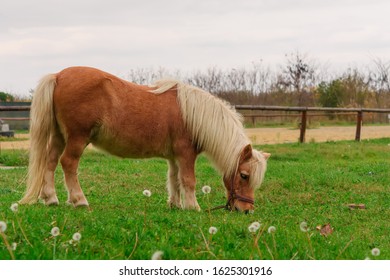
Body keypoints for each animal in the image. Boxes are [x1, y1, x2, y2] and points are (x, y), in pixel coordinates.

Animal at [19, 67, 270, 212]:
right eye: (244, 175)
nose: (246, 210)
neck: (194, 115)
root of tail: (59, 76)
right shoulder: (185, 154)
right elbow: (188, 180)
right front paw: (193, 207)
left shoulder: (174, 157)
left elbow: (174, 180)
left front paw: (175, 204)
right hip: (77, 138)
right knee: (68, 164)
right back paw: (79, 200)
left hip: (59, 136)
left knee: (50, 162)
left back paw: (51, 198)